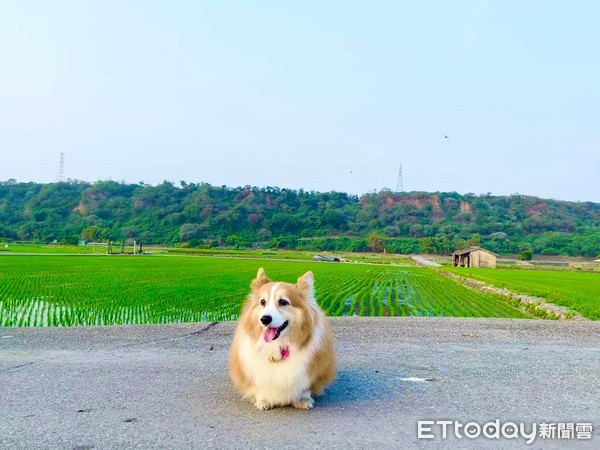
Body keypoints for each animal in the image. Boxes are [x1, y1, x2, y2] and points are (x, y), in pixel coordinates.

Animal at [229, 268, 336, 410]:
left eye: (283, 302)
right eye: (262, 302)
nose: (264, 319)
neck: (278, 345)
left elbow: (305, 388)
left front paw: (303, 399)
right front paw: (263, 400)